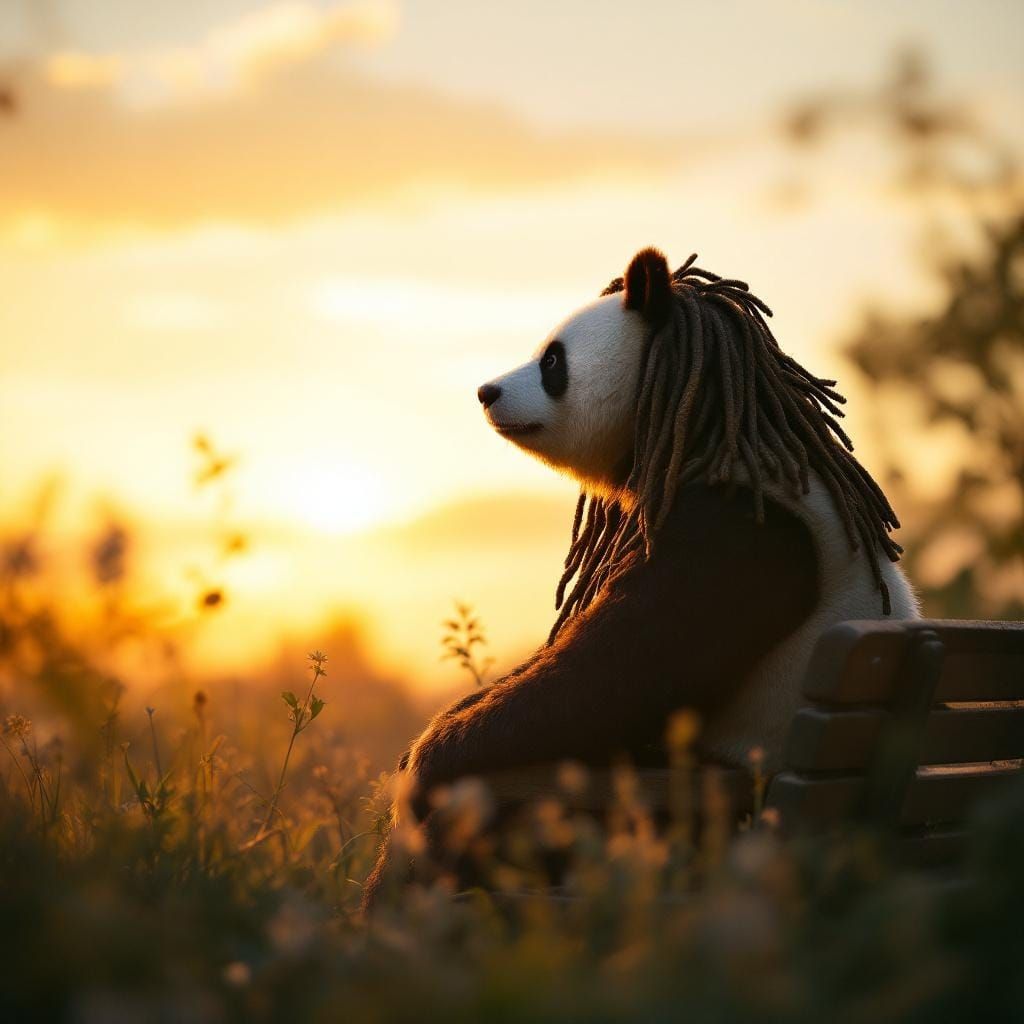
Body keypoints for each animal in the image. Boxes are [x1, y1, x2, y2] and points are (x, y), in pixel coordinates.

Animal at [362, 247, 919, 906]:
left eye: (553, 361)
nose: (486, 391)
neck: (708, 424)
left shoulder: (736, 533)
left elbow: (615, 676)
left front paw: (431, 761)